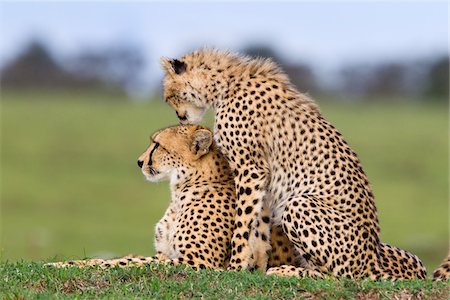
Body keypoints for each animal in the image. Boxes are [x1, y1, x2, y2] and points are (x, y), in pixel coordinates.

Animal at [47, 125, 300, 270]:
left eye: (157, 145)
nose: (139, 161)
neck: (181, 192)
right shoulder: (166, 254)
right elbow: (123, 258)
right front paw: (65, 262)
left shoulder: (200, 263)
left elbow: (129, 262)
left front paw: (70, 265)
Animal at [160, 48, 428, 280]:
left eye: (168, 96)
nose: (181, 117)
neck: (227, 83)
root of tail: (372, 260)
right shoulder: (263, 178)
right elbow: (259, 227)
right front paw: (255, 269)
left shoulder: (250, 169)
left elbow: (243, 222)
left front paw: (235, 267)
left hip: (299, 203)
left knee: (340, 277)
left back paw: (287, 271)